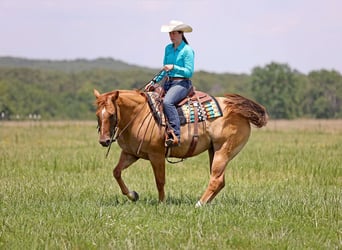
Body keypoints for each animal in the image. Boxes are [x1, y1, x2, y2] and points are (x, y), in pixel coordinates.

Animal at [93, 88, 268, 207]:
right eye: (97, 114)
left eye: (111, 114)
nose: (104, 140)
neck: (139, 115)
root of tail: (237, 109)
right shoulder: (130, 153)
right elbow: (116, 172)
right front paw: (133, 195)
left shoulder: (156, 155)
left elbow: (160, 180)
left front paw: (162, 203)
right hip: (213, 151)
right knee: (220, 181)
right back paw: (205, 203)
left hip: (223, 151)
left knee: (216, 180)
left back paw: (199, 204)